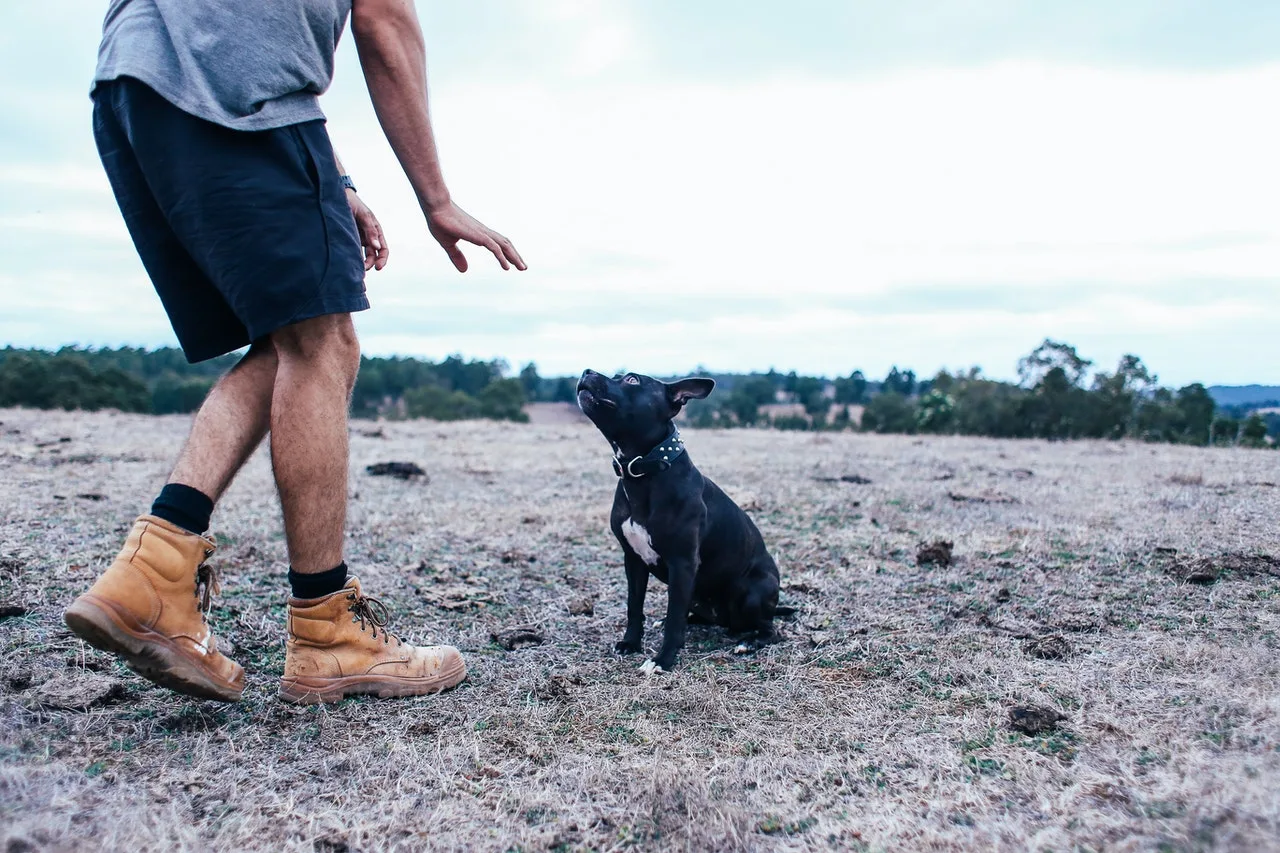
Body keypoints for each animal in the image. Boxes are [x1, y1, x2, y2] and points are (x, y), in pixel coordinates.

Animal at [578, 366, 778, 671]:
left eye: (632, 380)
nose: (586, 370)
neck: (644, 471)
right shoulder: (633, 559)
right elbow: (634, 606)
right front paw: (630, 643)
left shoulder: (682, 564)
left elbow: (674, 618)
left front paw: (662, 660)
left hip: (751, 592)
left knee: (771, 629)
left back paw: (749, 642)